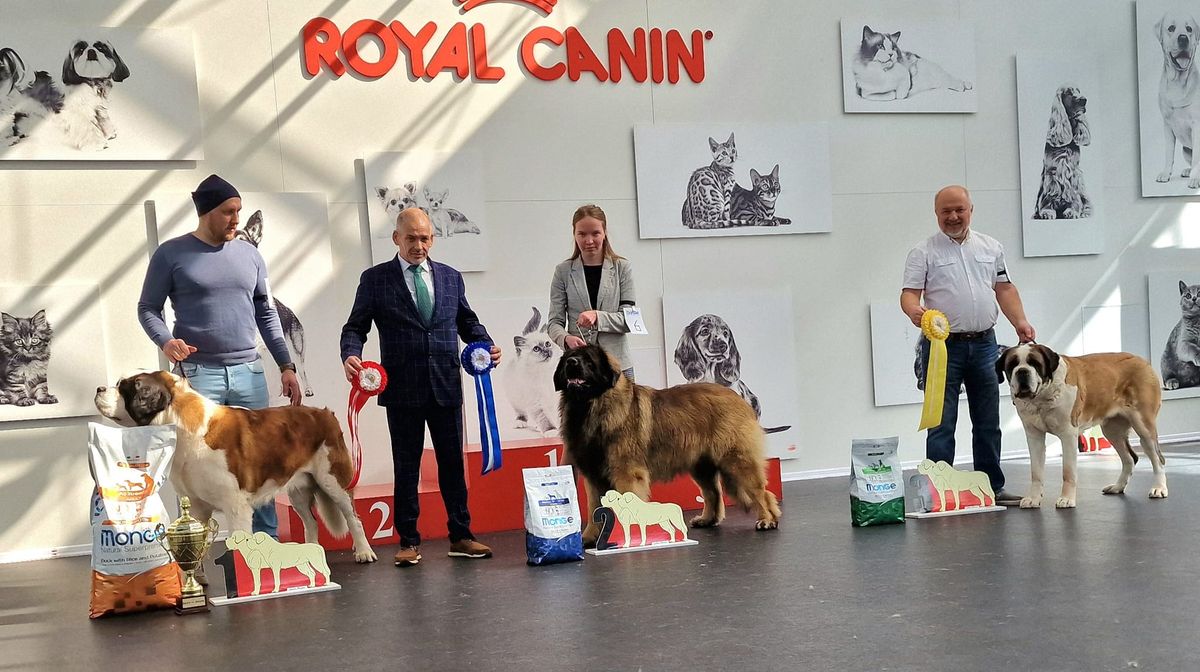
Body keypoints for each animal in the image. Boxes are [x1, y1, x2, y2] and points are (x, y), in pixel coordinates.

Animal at [94, 369, 374, 564]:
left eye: (124, 387)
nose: (98, 388)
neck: (184, 429)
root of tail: (325, 413)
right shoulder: (196, 507)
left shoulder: (235, 506)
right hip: (298, 491)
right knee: (311, 522)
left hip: (333, 481)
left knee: (353, 517)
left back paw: (364, 552)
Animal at [554, 340, 782, 547]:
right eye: (569, 358)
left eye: (589, 361)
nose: (572, 362)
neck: (591, 407)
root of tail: (738, 398)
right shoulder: (593, 476)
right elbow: (594, 508)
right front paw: (589, 538)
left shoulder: (626, 473)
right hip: (702, 466)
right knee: (713, 493)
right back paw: (707, 519)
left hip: (737, 462)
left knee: (761, 492)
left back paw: (767, 519)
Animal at [998, 343, 1166, 506]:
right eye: (1012, 365)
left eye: (1035, 363)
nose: (1022, 371)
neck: (1042, 397)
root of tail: (1142, 361)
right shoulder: (1034, 436)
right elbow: (1036, 472)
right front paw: (1033, 498)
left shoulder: (1068, 435)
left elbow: (1068, 472)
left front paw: (1066, 499)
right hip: (1112, 431)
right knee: (1130, 459)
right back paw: (1117, 487)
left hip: (1144, 427)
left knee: (1158, 459)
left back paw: (1159, 488)